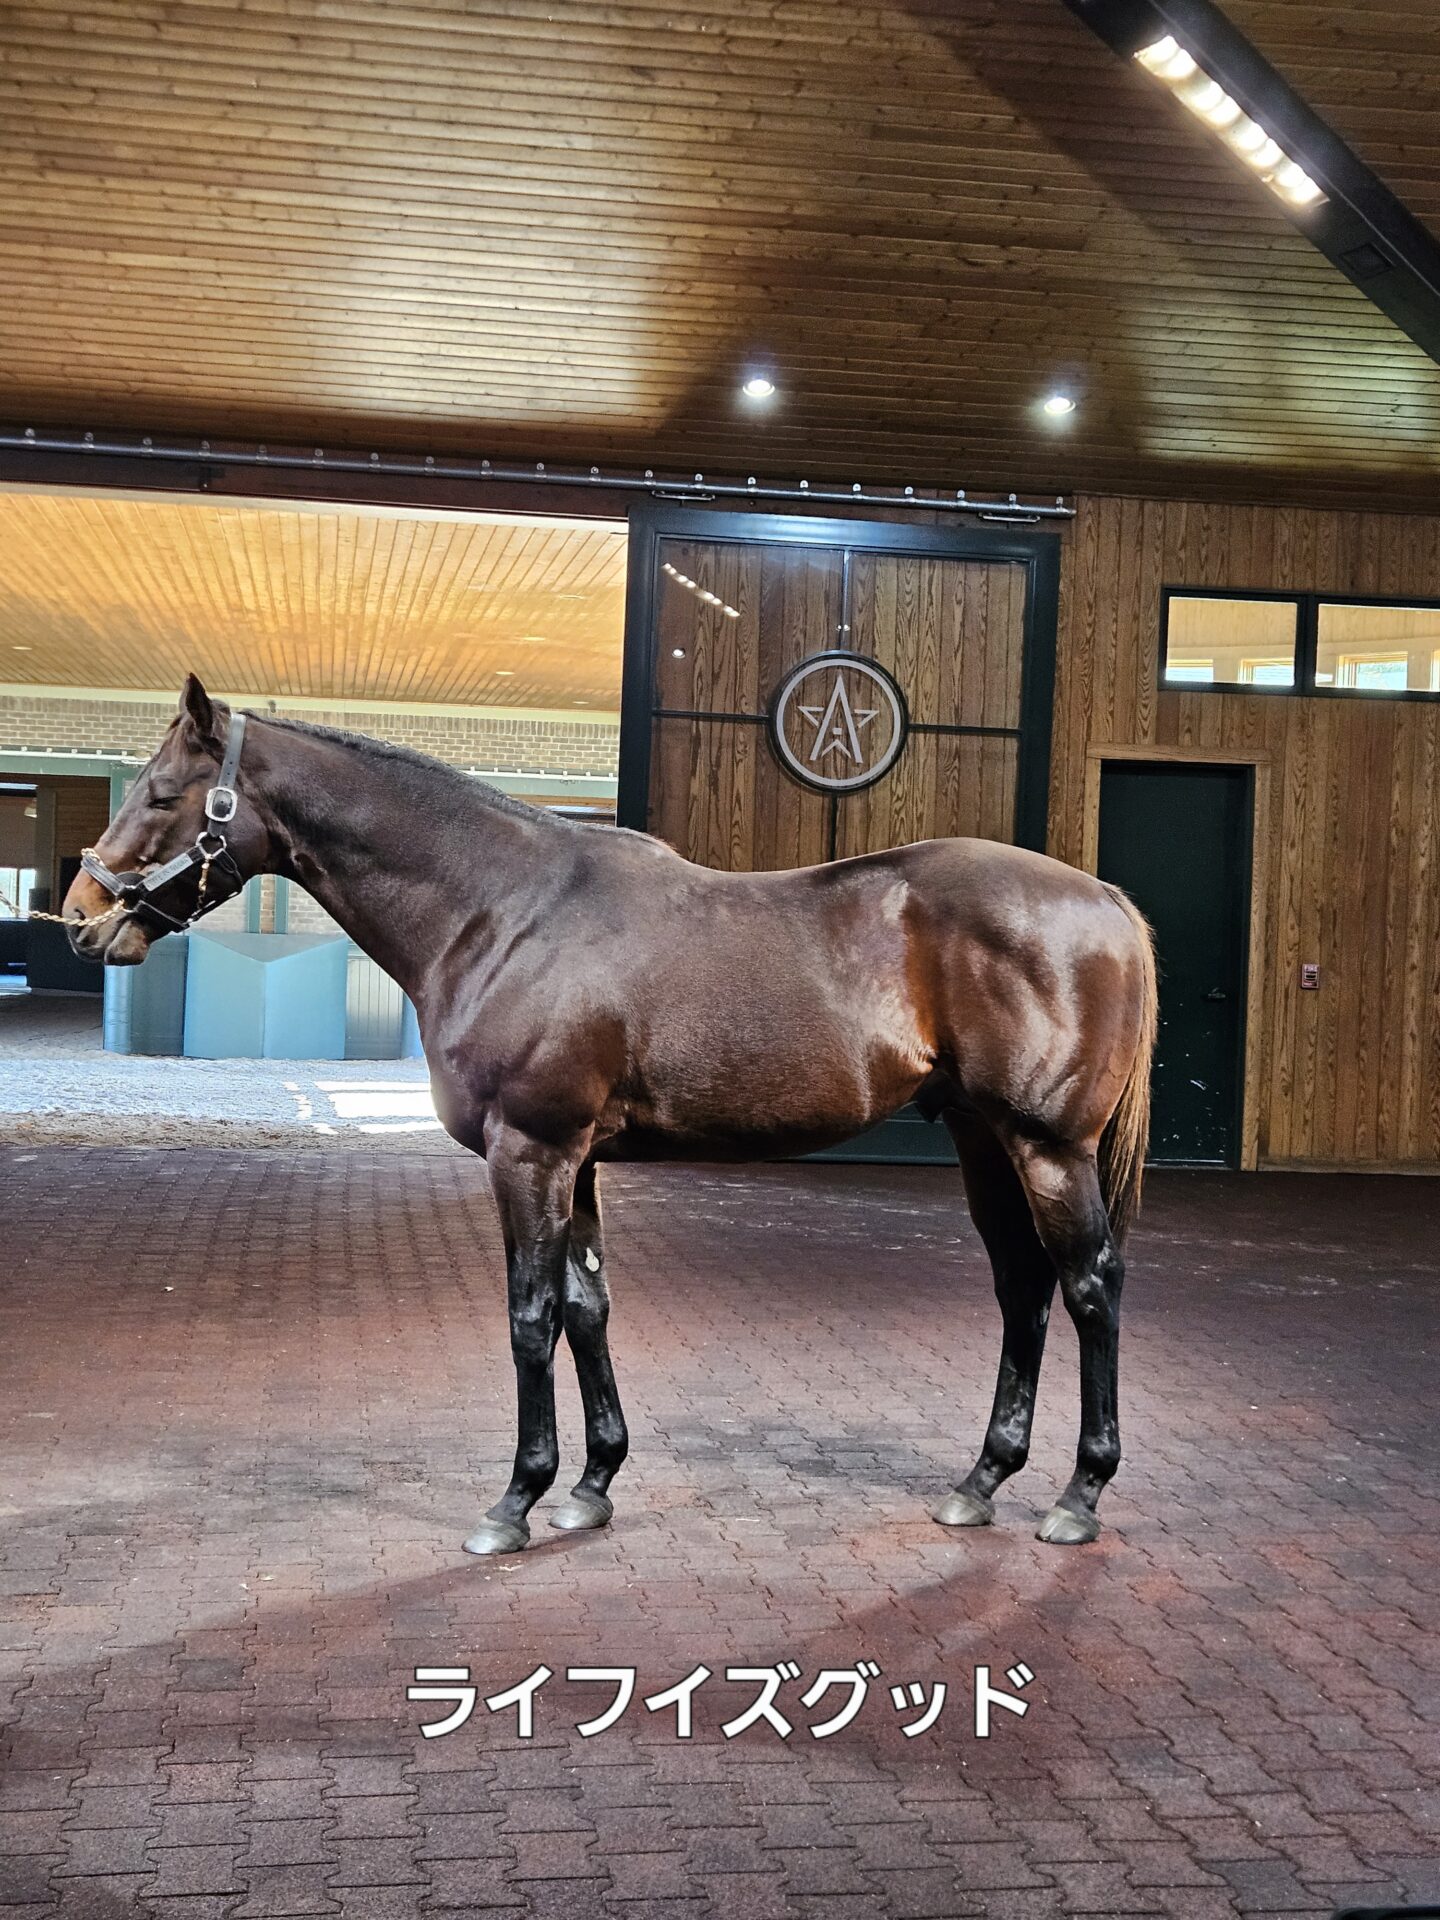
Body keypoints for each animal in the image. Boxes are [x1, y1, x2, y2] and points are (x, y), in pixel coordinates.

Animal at [65, 675, 1157, 1555]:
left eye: (161, 794)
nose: (81, 913)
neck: (501, 911)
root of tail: (1106, 899)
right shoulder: (575, 1160)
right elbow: (587, 1308)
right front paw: (590, 1486)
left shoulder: (529, 1152)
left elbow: (530, 1317)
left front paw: (515, 1501)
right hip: (983, 1140)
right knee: (1022, 1287)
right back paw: (981, 1482)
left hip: (1048, 1146)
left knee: (1088, 1287)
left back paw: (1079, 1496)